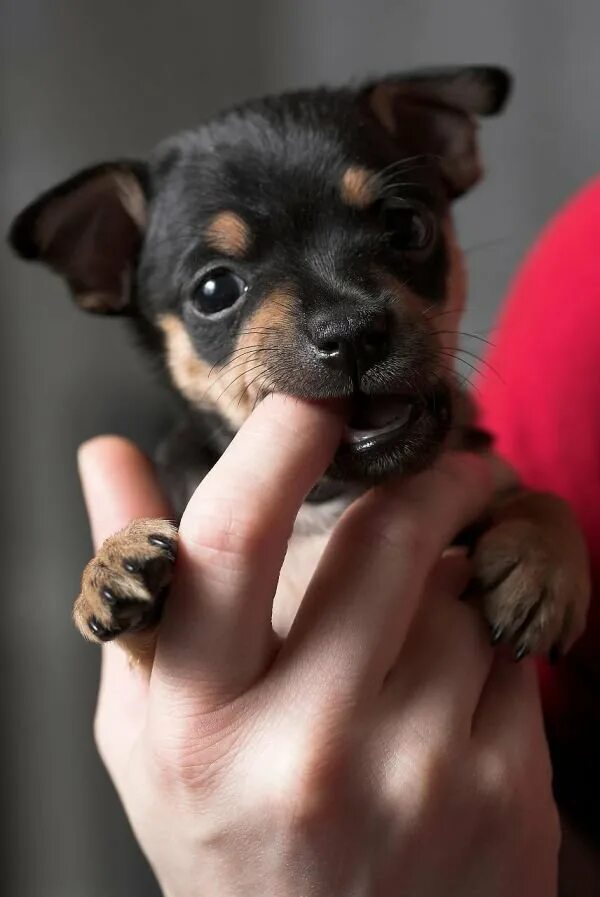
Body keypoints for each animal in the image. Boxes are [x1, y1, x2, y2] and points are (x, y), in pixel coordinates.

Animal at [8, 65, 592, 664]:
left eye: (407, 227)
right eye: (214, 291)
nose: (351, 331)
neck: (331, 501)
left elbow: (541, 498)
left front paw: (537, 558)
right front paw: (110, 565)